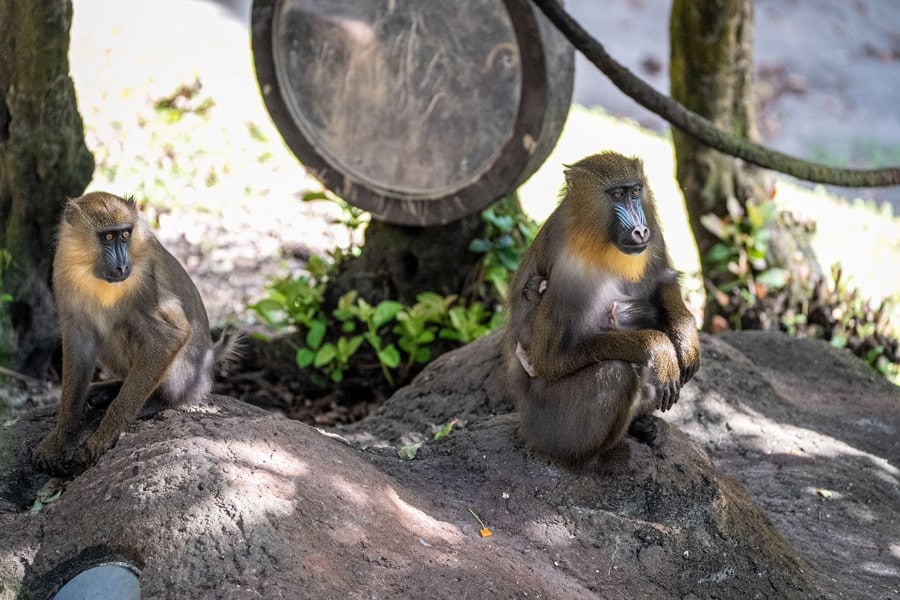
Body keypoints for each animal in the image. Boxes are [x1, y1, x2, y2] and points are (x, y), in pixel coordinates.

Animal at [34, 192, 240, 475]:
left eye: (125, 234)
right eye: (108, 237)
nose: (122, 267)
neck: (92, 270)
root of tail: (210, 359)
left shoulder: (145, 280)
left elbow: (170, 336)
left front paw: (104, 436)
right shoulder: (64, 272)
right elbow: (80, 340)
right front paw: (61, 435)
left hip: (187, 374)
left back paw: (155, 402)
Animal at [504, 151, 700, 463]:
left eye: (635, 192)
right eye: (617, 194)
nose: (640, 230)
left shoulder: (654, 236)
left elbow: (663, 280)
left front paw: (685, 337)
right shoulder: (570, 271)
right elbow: (552, 358)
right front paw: (657, 348)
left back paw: (644, 425)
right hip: (549, 422)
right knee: (617, 374)